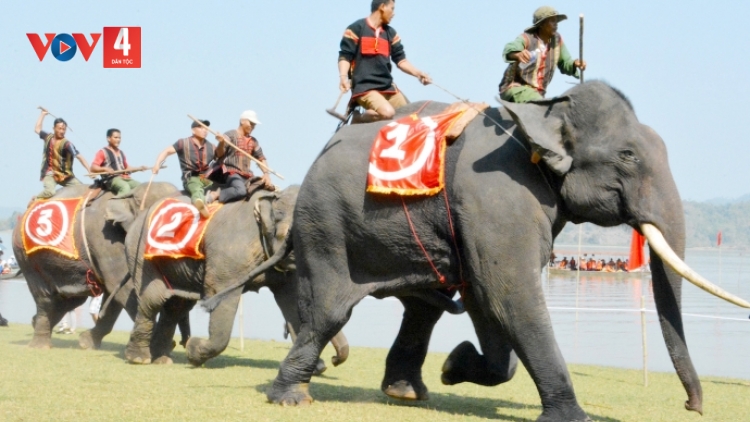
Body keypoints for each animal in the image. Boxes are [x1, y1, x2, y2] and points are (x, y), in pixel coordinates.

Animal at [13, 181, 181, 350]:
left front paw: (86, 343)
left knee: (70, 300)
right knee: (45, 298)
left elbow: (115, 295)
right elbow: (124, 289)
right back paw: (39, 345)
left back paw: (35, 322)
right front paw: (160, 346)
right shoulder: (105, 238)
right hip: (27, 258)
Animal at [122, 185, 352, 370]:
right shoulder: (228, 256)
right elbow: (220, 294)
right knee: (155, 298)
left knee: (176, 306)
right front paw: (194, 351)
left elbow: (291, 301)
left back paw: (161, 359)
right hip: (139, 250)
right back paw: (140, 359)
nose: (333, 360)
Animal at [201, 81, 750, 420]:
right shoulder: (499, 197)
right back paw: (291, 399)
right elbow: (510, 295)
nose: (692, 407)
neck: (544, 111)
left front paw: (455, 366)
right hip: (326, 226)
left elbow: (489, 300)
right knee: (331, 310)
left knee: (421, 309)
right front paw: (573, 417)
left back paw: (406, 391)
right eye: (629, 156)